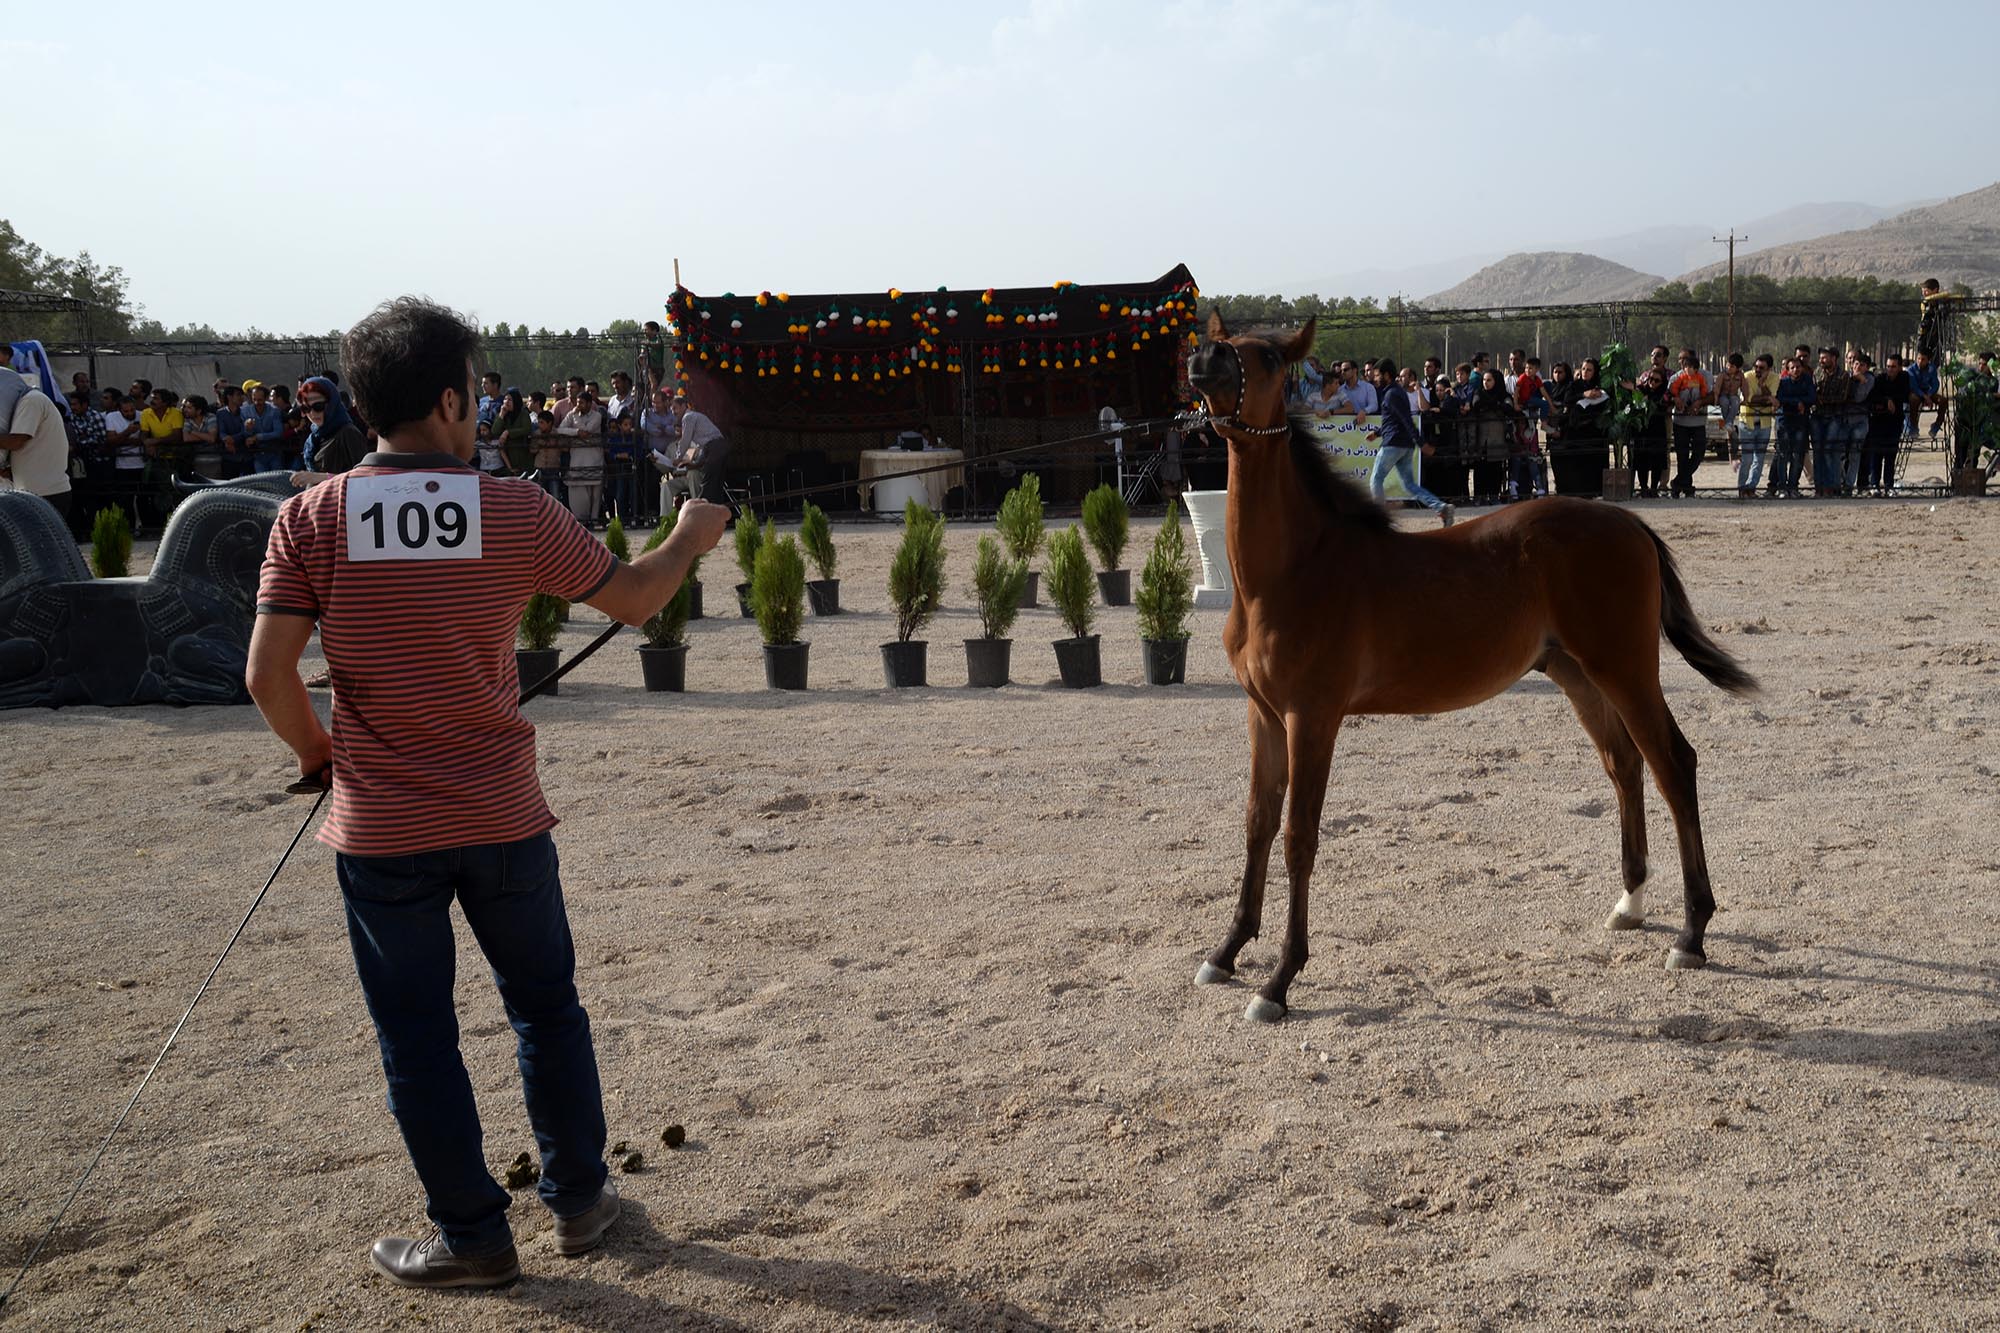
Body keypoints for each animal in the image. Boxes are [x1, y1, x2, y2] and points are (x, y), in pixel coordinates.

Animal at [1184, 316, 1752, 1020]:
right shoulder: (1263, 714)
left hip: (1625, 669)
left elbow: (1299, 836)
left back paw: (1692, 934)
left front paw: (1280, 981)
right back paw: (1631, 905)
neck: (1293, 569)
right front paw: (1226, 951)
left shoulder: (1311, 718)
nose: (1202, 358)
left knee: (1673, 763)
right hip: (1577, 674)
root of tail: (1627, 520)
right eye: (1226, 340)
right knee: (1624, 764)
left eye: (1264, 357)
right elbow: (1257, 824)